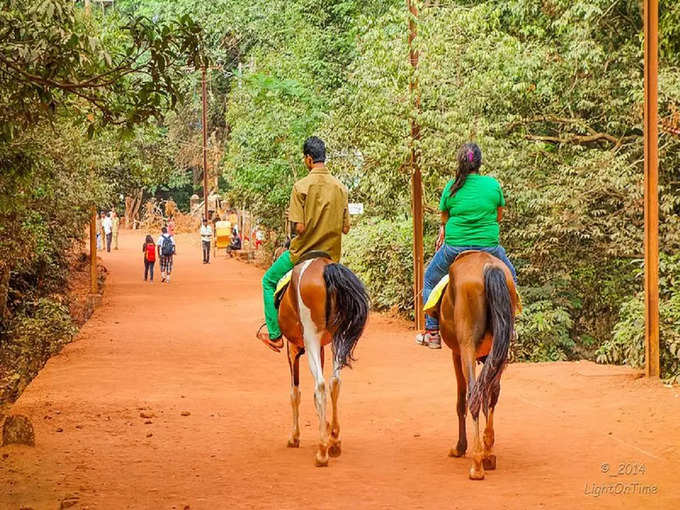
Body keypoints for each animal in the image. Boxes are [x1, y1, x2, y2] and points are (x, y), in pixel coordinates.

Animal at [276, 254, 370, 466]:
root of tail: (326, 266)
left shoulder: (293, 348)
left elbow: (295, 393)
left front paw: (294, 437)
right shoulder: (320, 348)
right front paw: (326, 426)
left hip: (311, 337)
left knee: (320, 385)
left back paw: (322, 451)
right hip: (338, 337)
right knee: (334, 382)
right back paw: (334, 440)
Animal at [430, 250, 520, 478]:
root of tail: (488, 267)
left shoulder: (456, 354)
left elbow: (460, 401)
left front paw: (460, 447)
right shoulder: (490, 355)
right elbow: (488, 393)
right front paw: (489, 450)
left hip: (467, 346)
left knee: (473, 395)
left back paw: (477, 463)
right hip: (501, 347)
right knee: (492, 392)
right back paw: (487, 450)